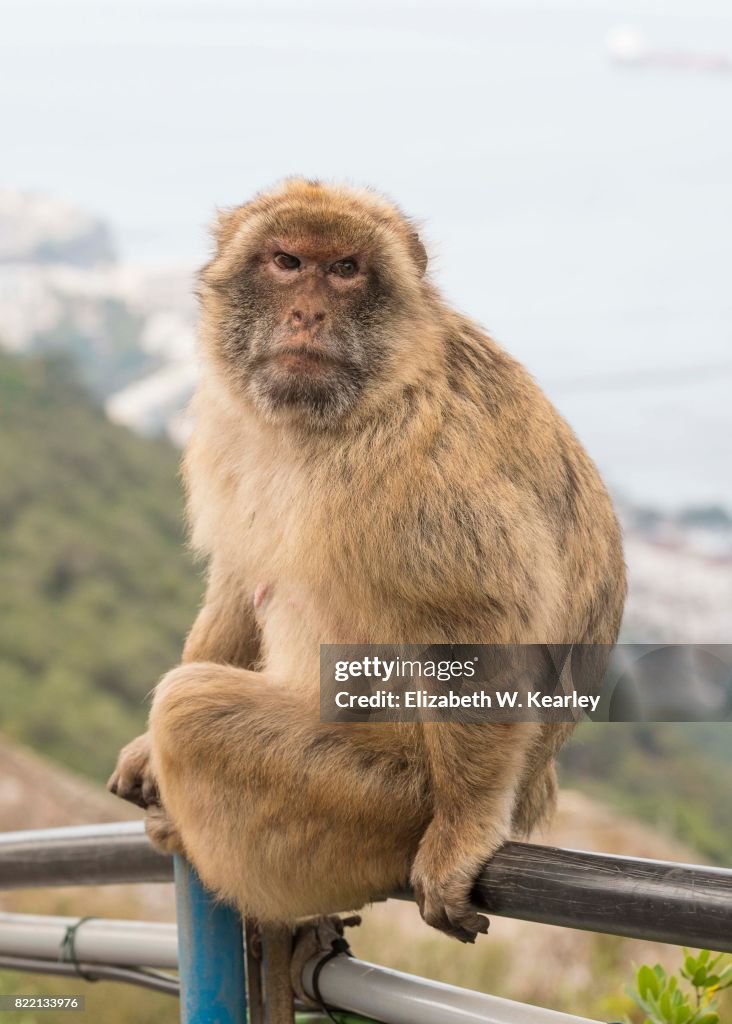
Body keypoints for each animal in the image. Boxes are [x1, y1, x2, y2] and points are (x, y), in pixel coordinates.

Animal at [107, 180, 622, 946]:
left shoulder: (420, 463)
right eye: (287, 261)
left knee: (194, 710)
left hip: (384, 797)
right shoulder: (231, 428)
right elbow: (236, 582)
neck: (323, 422)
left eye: (346, 270)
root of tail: (535, 791)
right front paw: (143, 749)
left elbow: (477, 627)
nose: (308, 312)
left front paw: (464, 834)